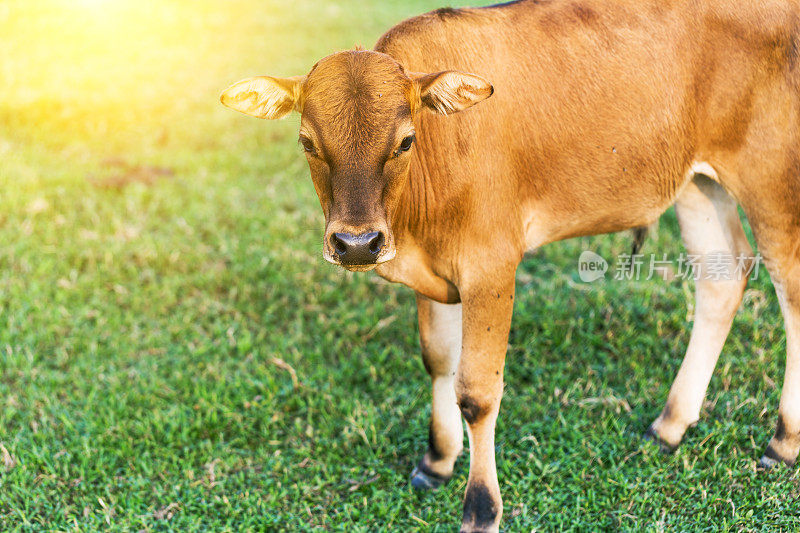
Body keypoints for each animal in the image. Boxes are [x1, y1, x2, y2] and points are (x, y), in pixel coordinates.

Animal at [222, 2, 800, 528]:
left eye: (405, 141)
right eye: (307, 142)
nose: (358, 243)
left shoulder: (492, 265)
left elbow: (477, 391)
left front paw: (481, 509)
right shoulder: (431, 272)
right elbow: (438, 359)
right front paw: (438, 459)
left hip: (770, 177)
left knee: (789, 287)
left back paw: (783, 439)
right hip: (698, 182)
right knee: (724, 276)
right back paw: (672, 423)